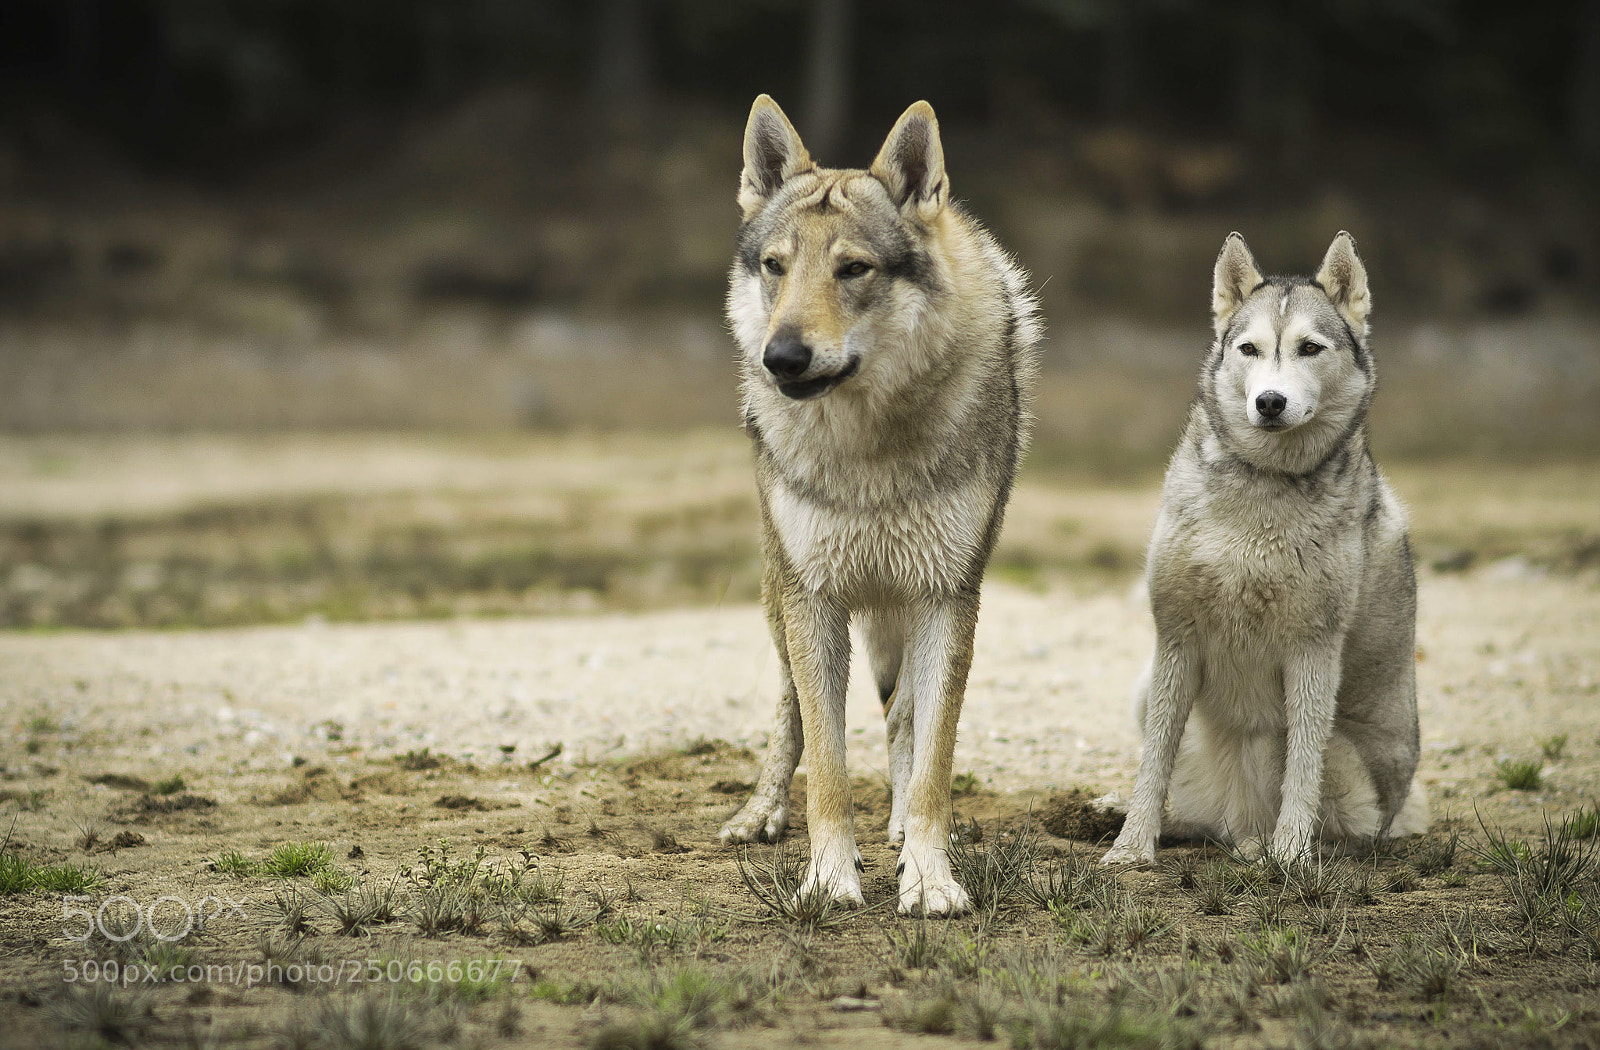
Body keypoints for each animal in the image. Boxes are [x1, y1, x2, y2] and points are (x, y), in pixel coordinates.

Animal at [716, 95, 1041, 914]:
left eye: (853, 269)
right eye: (775, 267)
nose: (782, 358)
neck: (868, 451)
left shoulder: (948, 596)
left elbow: (932, 759)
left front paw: (929, 875)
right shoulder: (814, 600)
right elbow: (827, 768)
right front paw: (828, 879)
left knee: (902, 717)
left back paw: (897, 829)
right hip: (778, 594)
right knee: (790, 714)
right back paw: (759, 815)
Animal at [1101, 231, 1428, 867]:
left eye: (1309, 348)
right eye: (1249, 349)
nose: (1270, 402)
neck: (1264, 484)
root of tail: (1231, 817)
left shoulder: (1313, 650)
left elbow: (1301, 771)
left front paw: (1291, 854)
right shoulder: (1175, 637)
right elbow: (1153, 761)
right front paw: (1132, 846)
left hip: (1338, 762)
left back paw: (1263, 845)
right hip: (1143, 687)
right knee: (1189, 805)